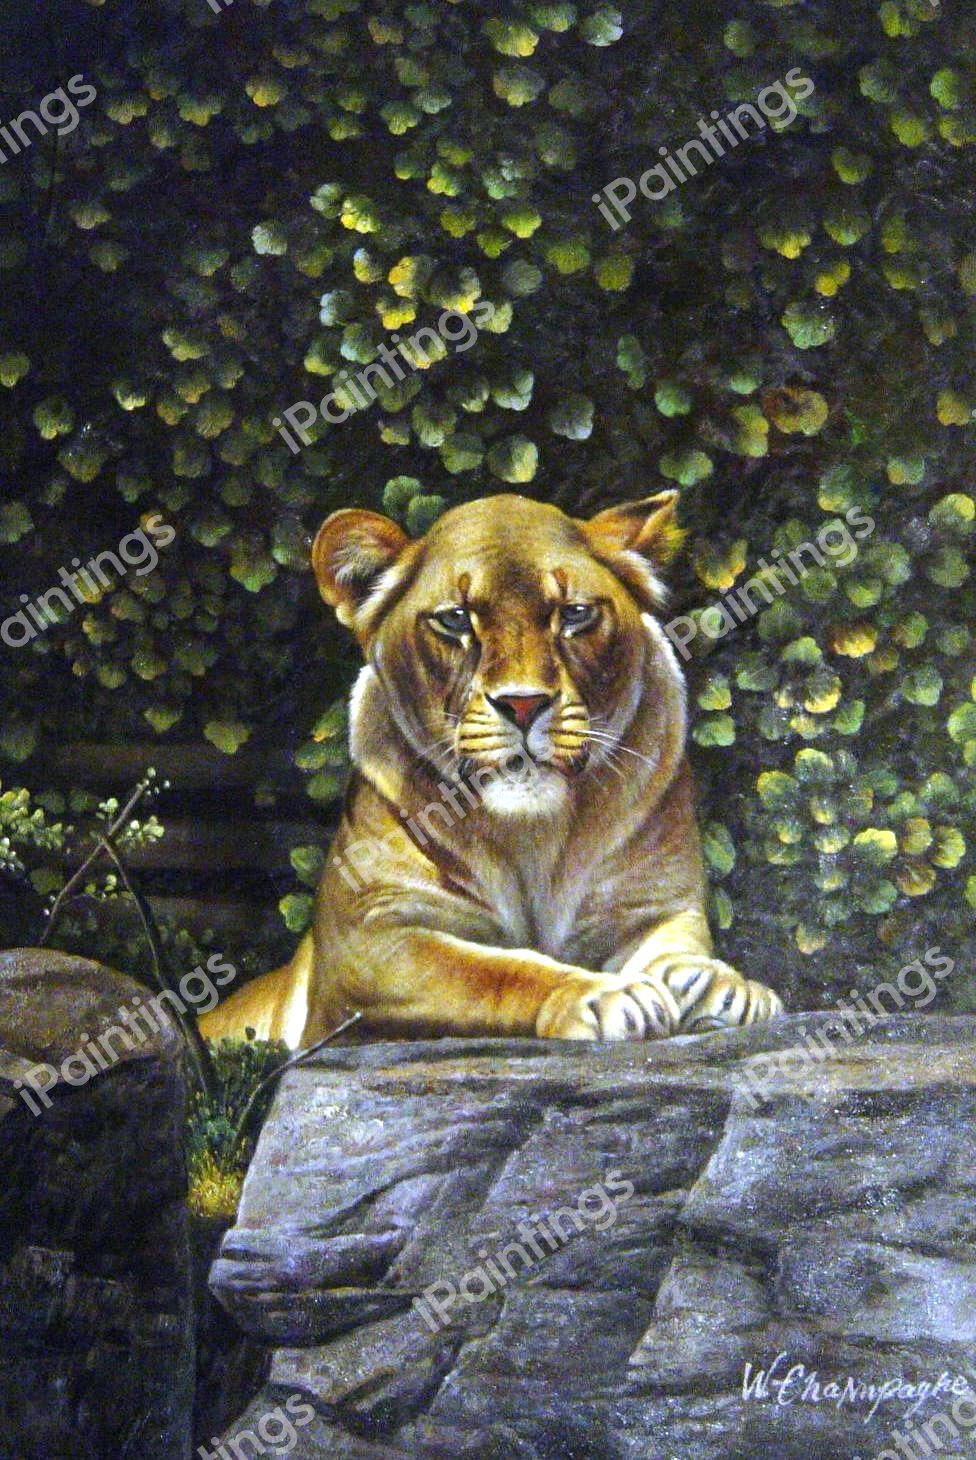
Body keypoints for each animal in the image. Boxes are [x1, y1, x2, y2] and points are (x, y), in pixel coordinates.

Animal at [200, 491, 782, 1049]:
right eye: (456, 619)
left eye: (574, 613)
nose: (523, 704)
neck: (533, 839)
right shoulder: (366, 944)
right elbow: (493, 972)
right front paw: (601, 996)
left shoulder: (657, 904)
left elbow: (676, 943)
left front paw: (719, 985)